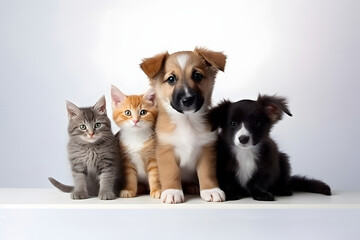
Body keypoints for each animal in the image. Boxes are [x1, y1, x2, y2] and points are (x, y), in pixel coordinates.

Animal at [140, 46, 226, 202]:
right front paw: (172, 191)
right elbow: (171, 172)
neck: (187, 122)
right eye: (171, 79)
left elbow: (207, 173)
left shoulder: (206, 149)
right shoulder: (165, 150)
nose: (187, 99)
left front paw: (211, 190)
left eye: (197, 76)